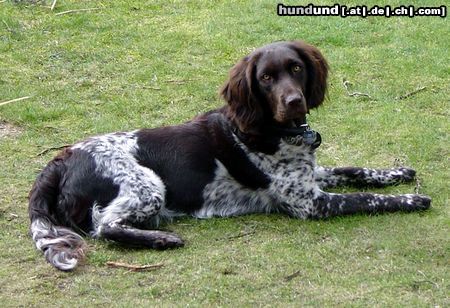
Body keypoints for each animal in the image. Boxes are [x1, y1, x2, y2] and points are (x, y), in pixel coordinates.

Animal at [29, 40, 430, 270]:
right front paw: (414, 199)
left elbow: (355, 170)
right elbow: (368, 198)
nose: (294, 100)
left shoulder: (310, 176)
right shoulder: (310, 203)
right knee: (105, 226)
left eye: (296, 68)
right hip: (147, 186)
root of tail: (61, 159)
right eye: (266, 78)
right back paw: (161, 239)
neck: (271, 130)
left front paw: (398, 173)